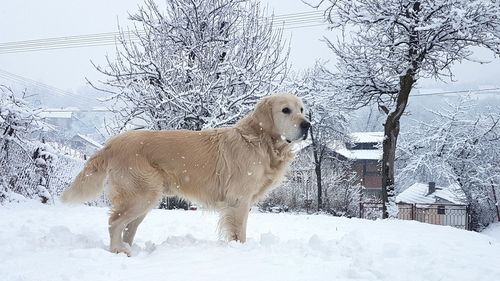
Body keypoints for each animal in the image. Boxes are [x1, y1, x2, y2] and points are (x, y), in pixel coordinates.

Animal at [59, 93, 308, 255]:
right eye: (285, 110)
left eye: (302, 109)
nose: (308, 125)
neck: (259, 140)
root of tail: (112, 143)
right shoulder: (239, 200)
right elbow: (239, 233)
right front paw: (240, 251)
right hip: (143, 195)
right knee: (114, 222)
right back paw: (118, 250)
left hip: (146, 198)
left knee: (128, 227)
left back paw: (130, 249)